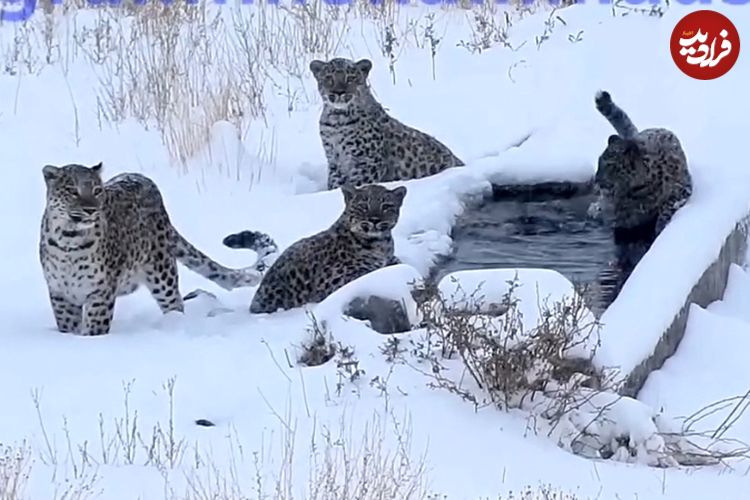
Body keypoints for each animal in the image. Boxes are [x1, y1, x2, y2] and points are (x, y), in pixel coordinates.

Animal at [39, 164, 280, 336]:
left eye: (97, 190)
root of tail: (145, 180)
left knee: (175, 302)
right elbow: (67, 325)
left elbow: (94, 327)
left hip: (162, 275)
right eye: (72, 191)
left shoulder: (100, 293)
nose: (90, 209)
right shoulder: (60, 293)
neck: (69, 242)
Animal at [223, 184, 408, 314]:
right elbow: (368, 272)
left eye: (386, 206)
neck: (380, 244)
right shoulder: (333, 281)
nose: (374, 219)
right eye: (363, 206)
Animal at [310, 57, 464, 191]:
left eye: (351, 78)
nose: (339, 92)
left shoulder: (368, 163)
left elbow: (356, 184)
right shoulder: (334, 161)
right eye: (329, 78)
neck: (337, 119)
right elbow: (334, 183)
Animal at [592, 91, 692, 244]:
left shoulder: (682, 189)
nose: (596, 180)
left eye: (609, 165)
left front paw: (660, 225)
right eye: (598, 161)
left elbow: (668, 205)